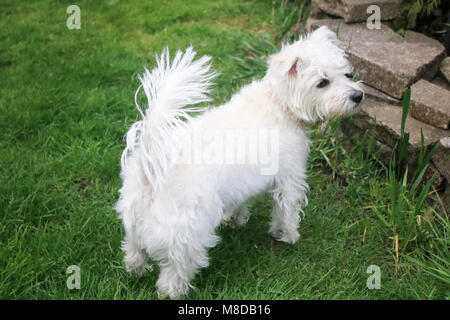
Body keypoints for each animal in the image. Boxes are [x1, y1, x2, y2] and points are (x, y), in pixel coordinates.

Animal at [115, 26, 362, 298]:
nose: (358, 95)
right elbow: (287, 211)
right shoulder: (290, 178)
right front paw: (288, 235)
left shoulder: (243, 185)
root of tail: (151, 167)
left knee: (133, 252)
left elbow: (241, 204)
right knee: (172, 275)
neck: (279, 103)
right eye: (322, 82)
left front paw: (237, 220)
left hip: (134, 223)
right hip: (187, 236)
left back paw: (138, 271)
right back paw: (176, 291)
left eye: (347, 73)